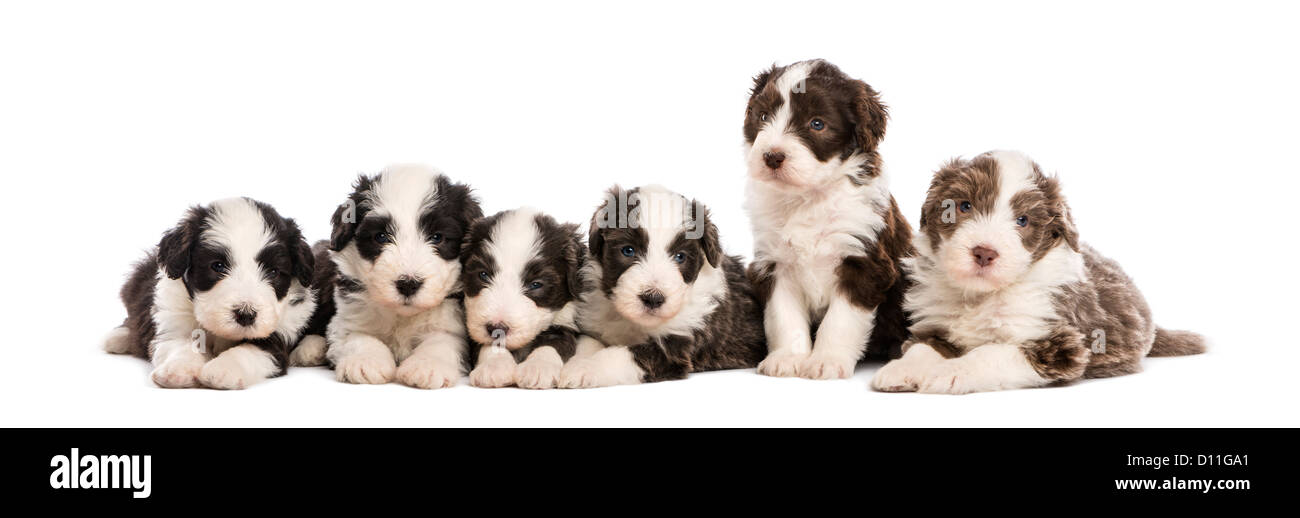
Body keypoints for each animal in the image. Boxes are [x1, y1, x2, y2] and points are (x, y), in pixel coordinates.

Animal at [104, 197, 317, 387]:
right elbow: (181, 342)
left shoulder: (280, 331)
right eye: (218, 266)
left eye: (273, 272)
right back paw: (118, 338)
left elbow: (252, 350)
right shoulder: (172, 319)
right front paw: (178, 368)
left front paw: (224, 369)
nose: (245, 315)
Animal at [452, 208, 585, 385]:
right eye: (483, 275)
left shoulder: (565, 323)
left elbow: (554, 343)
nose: (497, 327)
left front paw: (538, 367)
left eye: (536, 284)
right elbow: (486, 344)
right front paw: (494, 366)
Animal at [553, 186, 764, 387]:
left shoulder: (674, 348)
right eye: (628, 250)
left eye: (680, 256)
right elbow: (586, 343)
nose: (653, 298)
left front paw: (584, 368)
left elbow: (621, 355)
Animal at [743, 58, 915, 377]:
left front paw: (827, 360)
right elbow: (784, 316)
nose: (772, 156)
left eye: (817, 124)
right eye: (763, 116)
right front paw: (788, 356)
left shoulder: (863, 261)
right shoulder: (775, 264)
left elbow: (840, 320)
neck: (808, 198)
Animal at [873, 151, 1206, 395]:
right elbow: (924, 346)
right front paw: (901, 368)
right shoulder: (936, 324)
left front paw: (952, 372)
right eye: (964, 206)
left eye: (1023, 220)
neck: (982, 296)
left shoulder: (1060, 344)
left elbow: (991, 354)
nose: (984, 253)